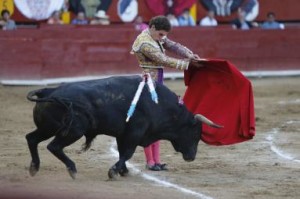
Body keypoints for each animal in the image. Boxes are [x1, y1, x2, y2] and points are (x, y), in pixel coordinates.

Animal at [25, 75, 221, 180]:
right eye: (195, 133)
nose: (191, 157)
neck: (159, 104)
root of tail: (49, 91)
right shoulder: (134, 133)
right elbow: (127, 153)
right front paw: (114, 171)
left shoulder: (122, 134)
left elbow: (122, 153)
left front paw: (123, 171)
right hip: (73, 131)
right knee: (54, 146)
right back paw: (72, 169)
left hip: (48, 127)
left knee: (31, 138)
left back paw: (34, 167)